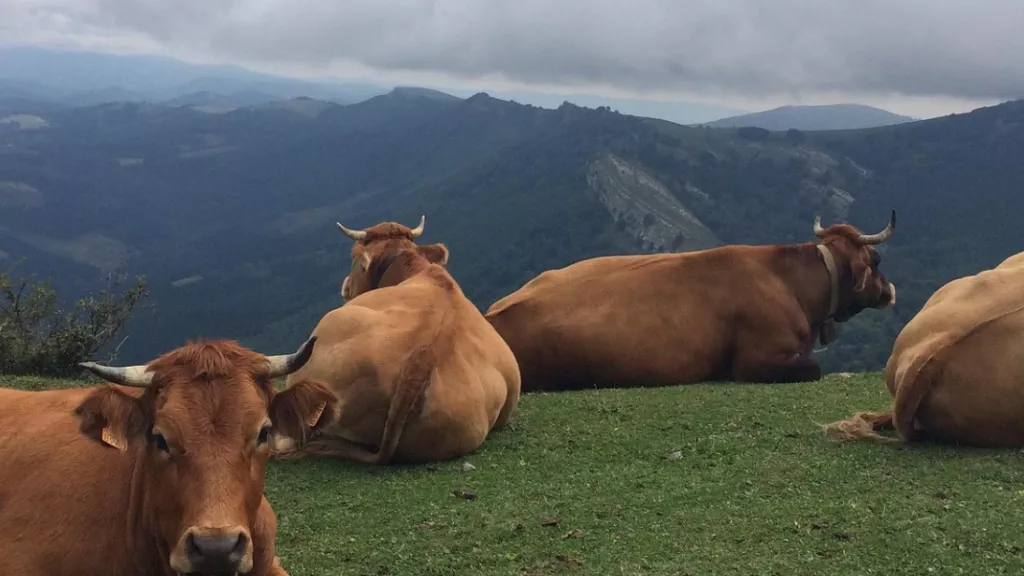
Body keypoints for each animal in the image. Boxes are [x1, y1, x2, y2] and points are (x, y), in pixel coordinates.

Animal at [484, 211, 898, 392]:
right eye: (877, 260)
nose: (890, 290)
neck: (789, 282)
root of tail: (492, 316)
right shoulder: (757, 360)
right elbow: (814, 368)